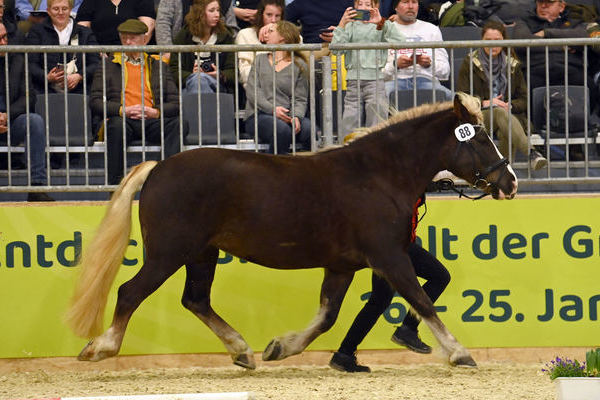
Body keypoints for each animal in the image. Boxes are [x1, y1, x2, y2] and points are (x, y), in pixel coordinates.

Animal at [65, 93, 516, 368]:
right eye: (480, 140)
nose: (510, 183)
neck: (378, 175)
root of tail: (157, 167)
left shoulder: (343, 266)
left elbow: (328, 316)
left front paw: (280, 347)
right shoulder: (390, 257)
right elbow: (422, 300)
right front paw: (459, 353)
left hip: (202, 254)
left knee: (195, 300)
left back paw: (243, 351)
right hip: (168, 252)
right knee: (131, 292)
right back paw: (101, 347)